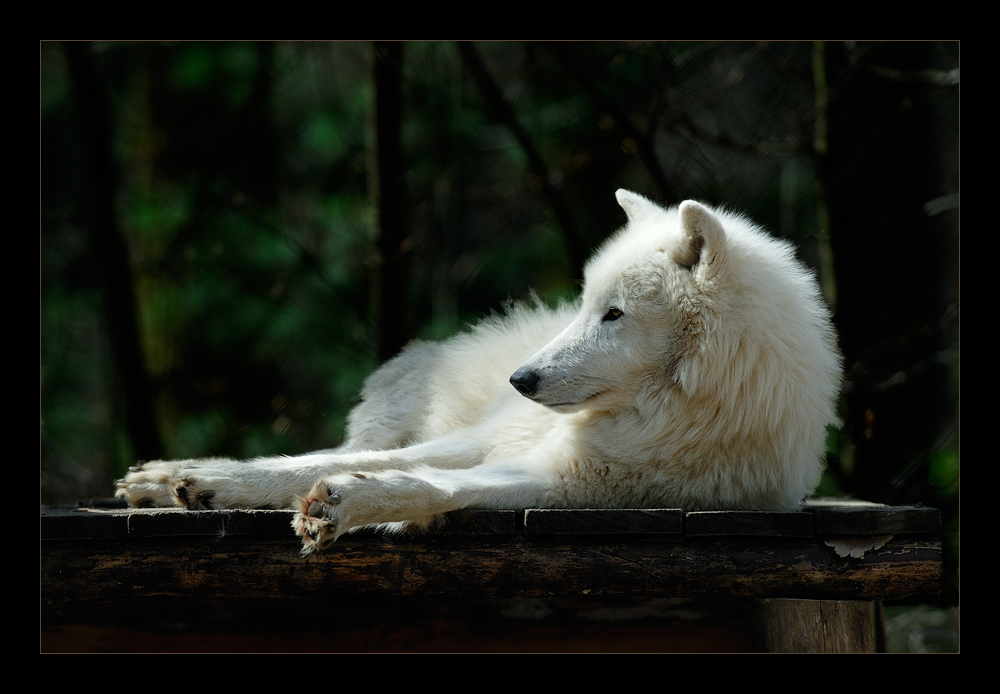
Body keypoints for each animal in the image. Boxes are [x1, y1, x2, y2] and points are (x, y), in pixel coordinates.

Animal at [115, 190, 844, 556]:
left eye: (615, 315)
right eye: (586, 304)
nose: (521, 380)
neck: (663, 416)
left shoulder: (563, 484)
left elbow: (433, 485)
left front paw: (346, 505)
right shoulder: (497, 444)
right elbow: (320, 462)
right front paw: (199, 479)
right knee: (353, 447)